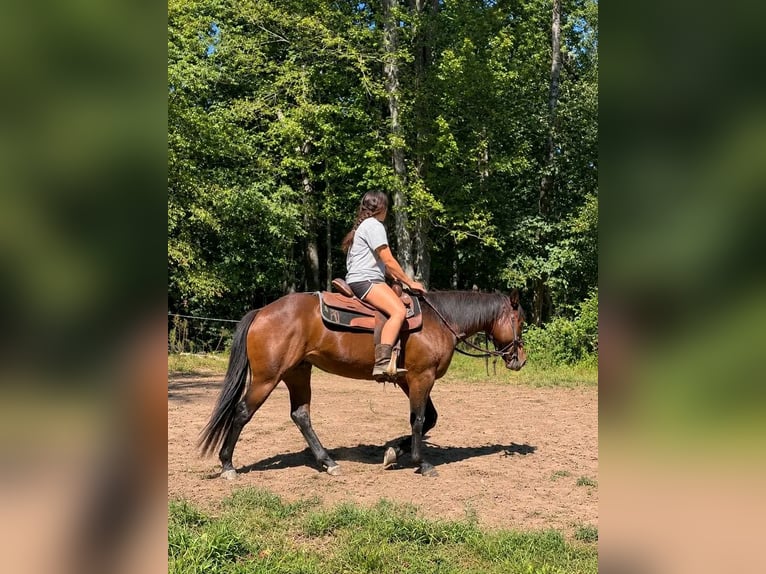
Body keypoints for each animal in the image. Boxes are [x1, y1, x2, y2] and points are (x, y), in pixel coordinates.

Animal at [199, 288, 527, 477]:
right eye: (520, 321)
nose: (520, 359)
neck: (440, 320)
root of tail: (262, 312)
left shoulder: (408, 379)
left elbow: (429, 419)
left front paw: (393, 452)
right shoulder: (421, 377)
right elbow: (420, 420)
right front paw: (421, 462)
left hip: (298, 373)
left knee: (300, 415)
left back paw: (328, 462)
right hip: (267, 378)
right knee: (242, 412)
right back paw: (228, 465)